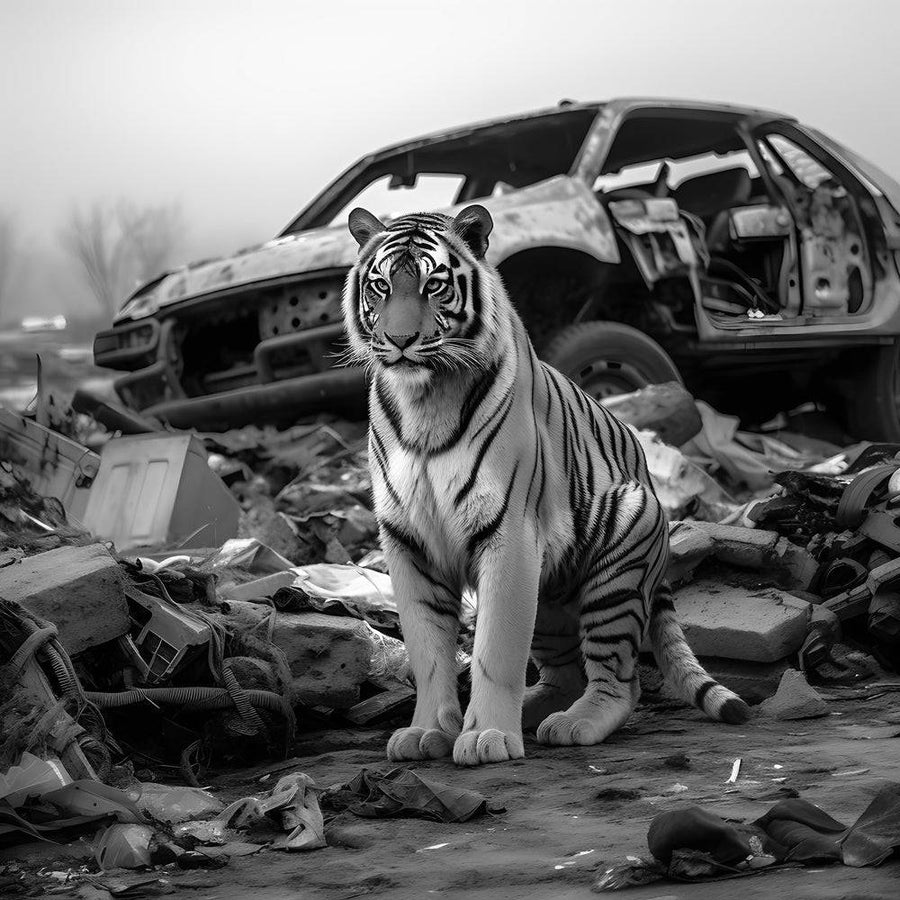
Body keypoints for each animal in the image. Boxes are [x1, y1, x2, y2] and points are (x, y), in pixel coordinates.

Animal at [342, 203, 750, 767]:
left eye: (433, 285)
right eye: (380, 286)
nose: (400, 341)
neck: (423, 399)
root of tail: (648, 480)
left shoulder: (509, 533)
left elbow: (496, 649)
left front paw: (487, 736)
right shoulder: (408, 542)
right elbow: (427, 652)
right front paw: (426, 731)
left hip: (617, 565)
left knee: (619, 681)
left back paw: (572, 724)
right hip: (551, 605)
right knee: (566, 673)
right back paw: (535, 712)